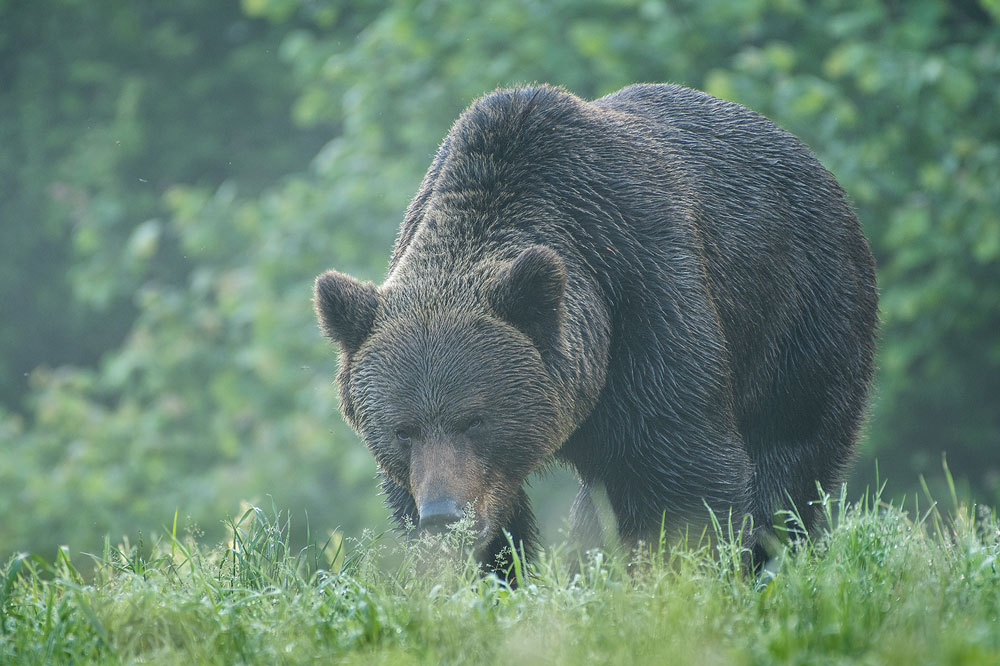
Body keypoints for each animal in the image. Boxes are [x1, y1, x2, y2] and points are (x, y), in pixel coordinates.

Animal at [312, 84, 876, 572]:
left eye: (474, 419)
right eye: (402, 430)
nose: (444, 515)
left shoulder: (644, 297)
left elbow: (683, 472)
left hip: (800, 315)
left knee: (788, 454)